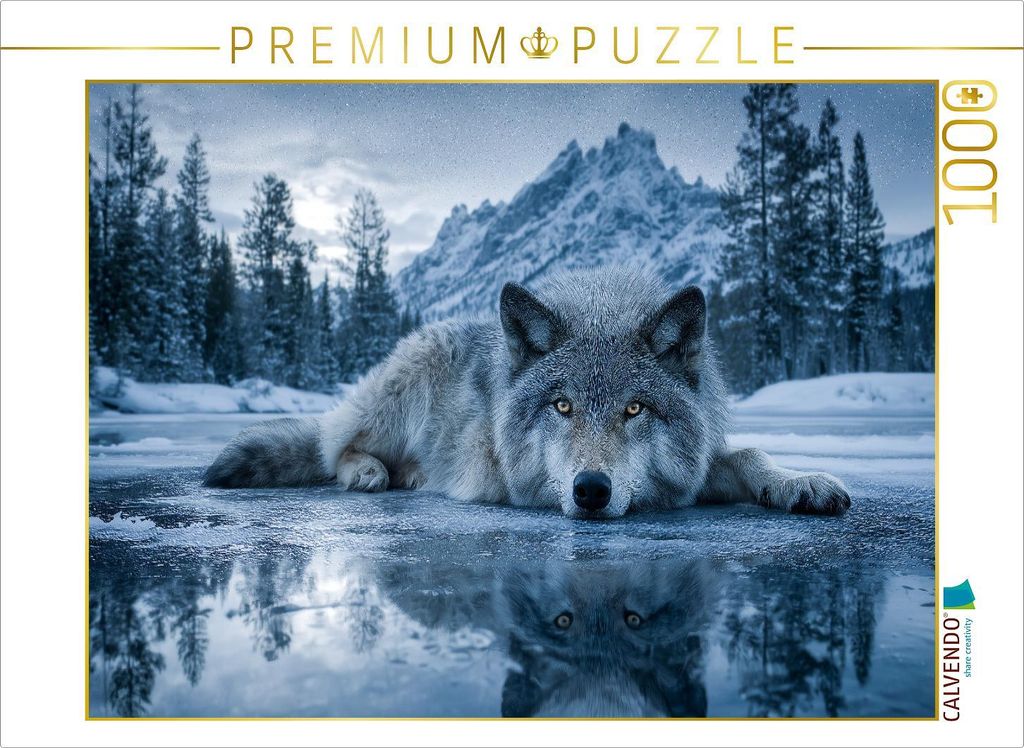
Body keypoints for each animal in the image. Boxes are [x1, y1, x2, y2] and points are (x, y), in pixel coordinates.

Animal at [204, 268, 850, 519]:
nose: (590, 490)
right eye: (562, 406)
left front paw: (800, 482)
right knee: (334, 446)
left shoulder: (690, 472)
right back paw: (369, 471)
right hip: (398, 395)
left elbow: (748, 454)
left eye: (635, 408)